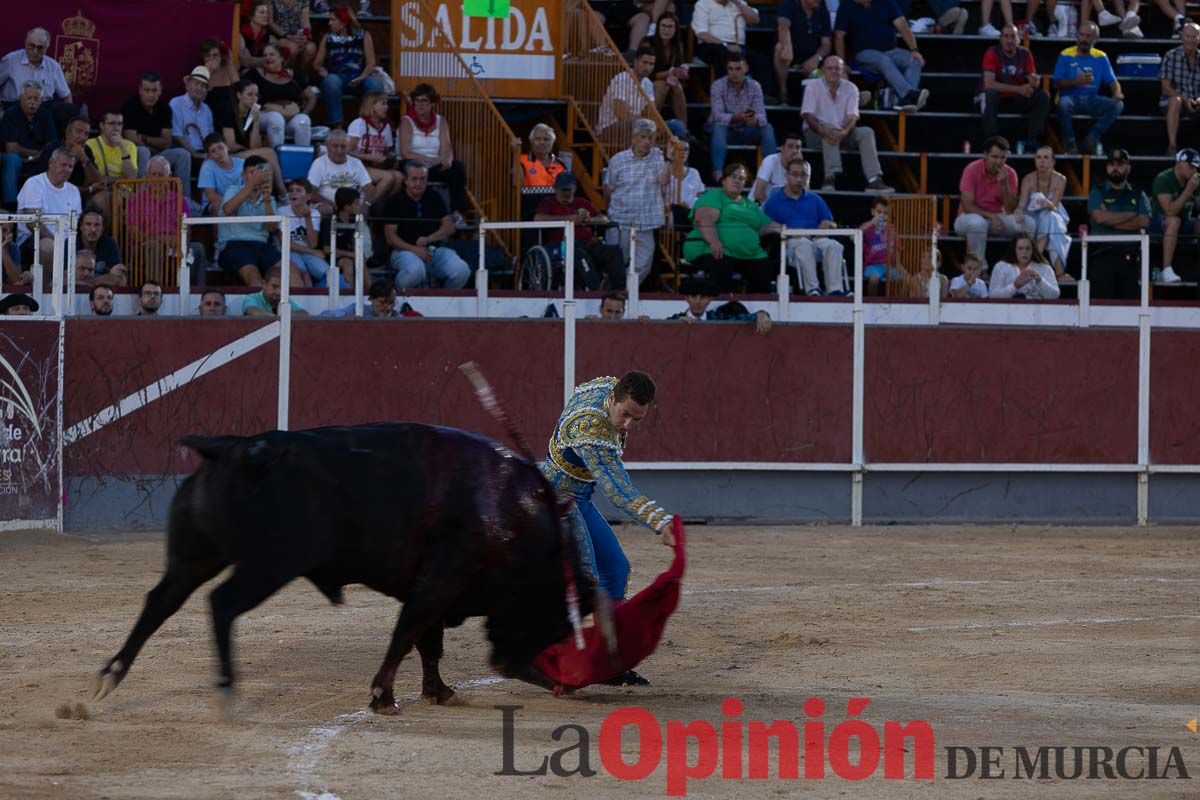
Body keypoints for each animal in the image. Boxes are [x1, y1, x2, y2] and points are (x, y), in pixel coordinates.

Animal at [93, 424, 595, 714]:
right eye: (556, 618)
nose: (563, 683)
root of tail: (238, 448)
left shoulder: (434, 584)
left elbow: (428, 643)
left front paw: (438, 691)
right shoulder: (440, 579)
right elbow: (408, 634)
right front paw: (382, 698)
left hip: (196, 556)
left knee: (160, 601)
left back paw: (109, 677)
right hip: (271, 564)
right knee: (222, 603)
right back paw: (226, 689)